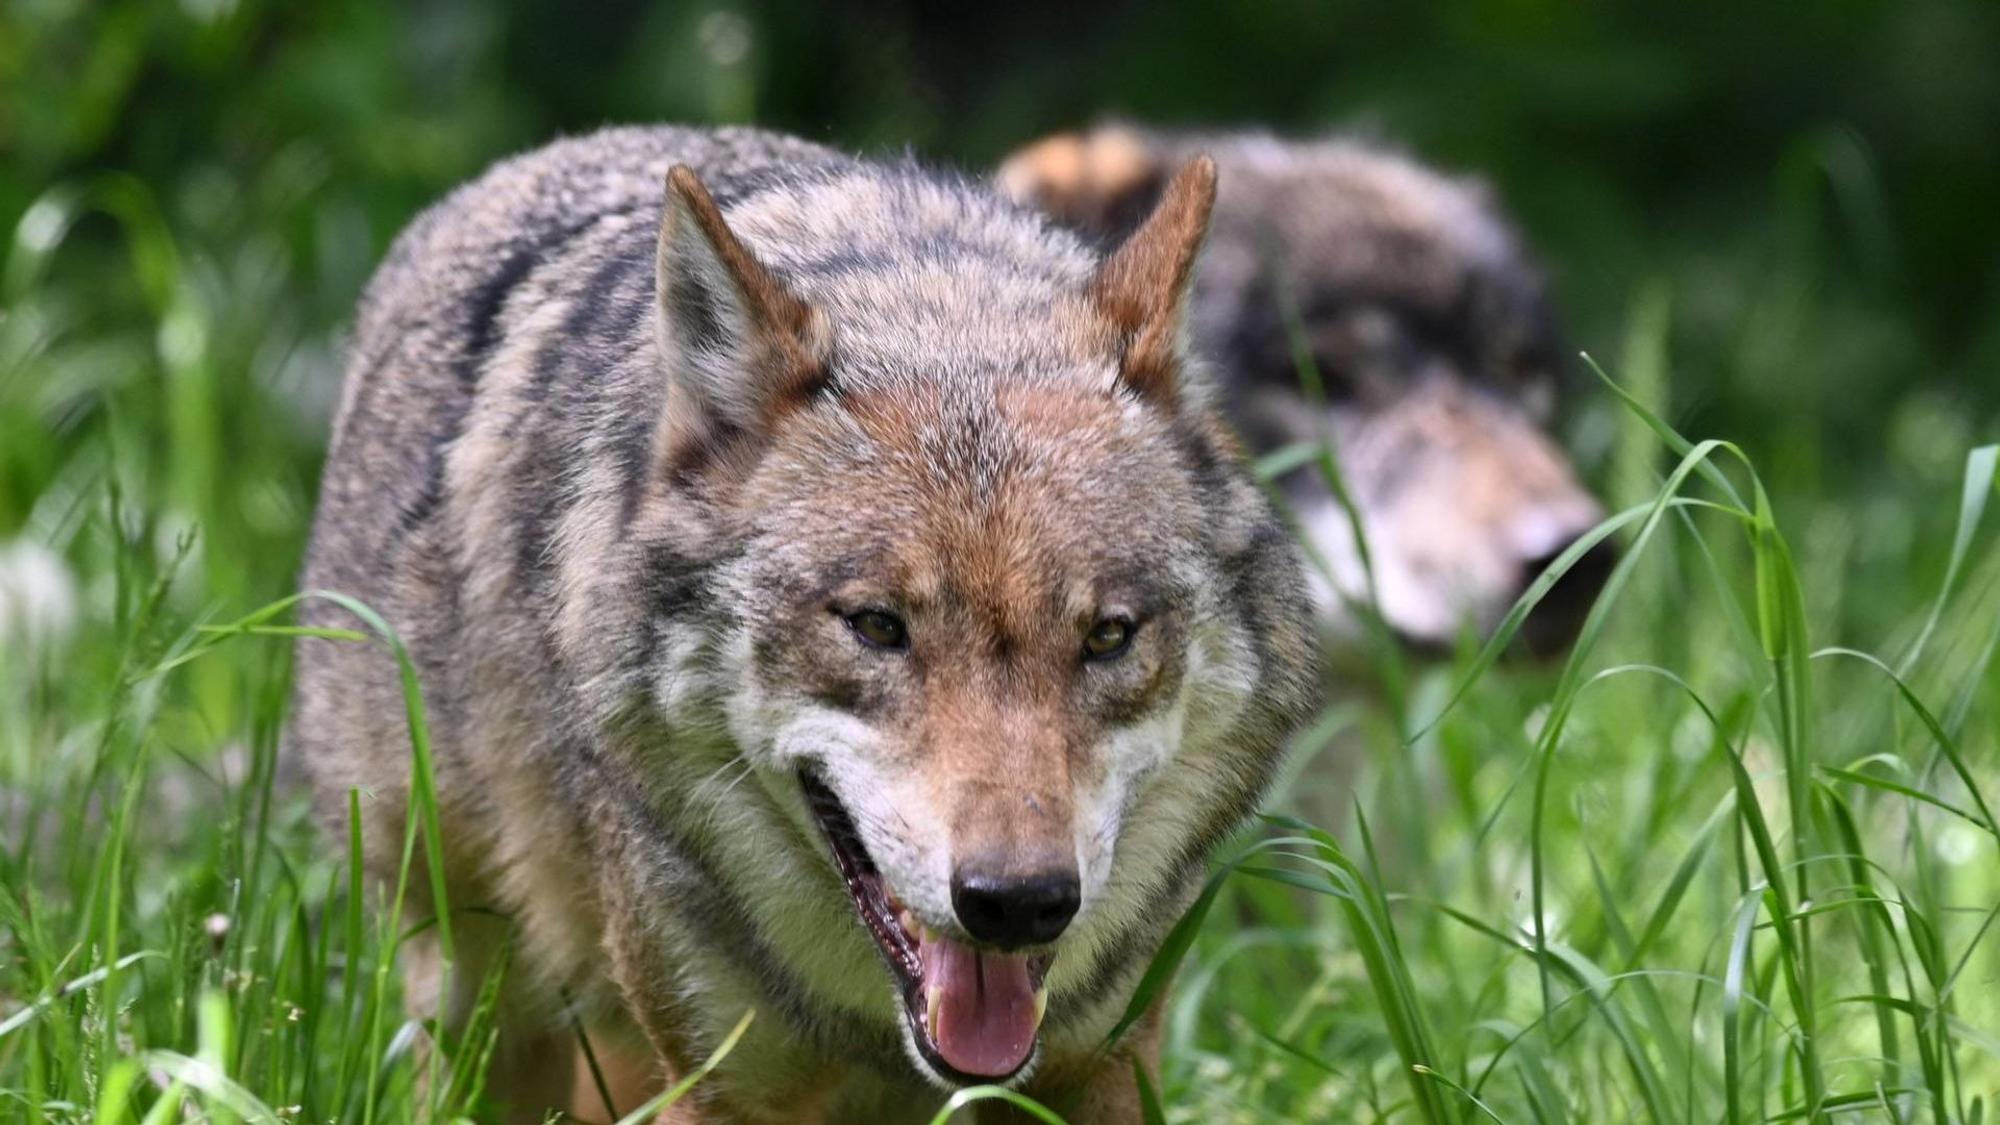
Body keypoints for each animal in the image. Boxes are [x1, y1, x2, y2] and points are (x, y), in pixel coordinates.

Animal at [290, 125, 1319, 1122]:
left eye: (1108, 636)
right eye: (876, 626)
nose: (1021, 903)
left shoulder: (1098, 1066)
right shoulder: (722, 1091)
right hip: (480, 1004)